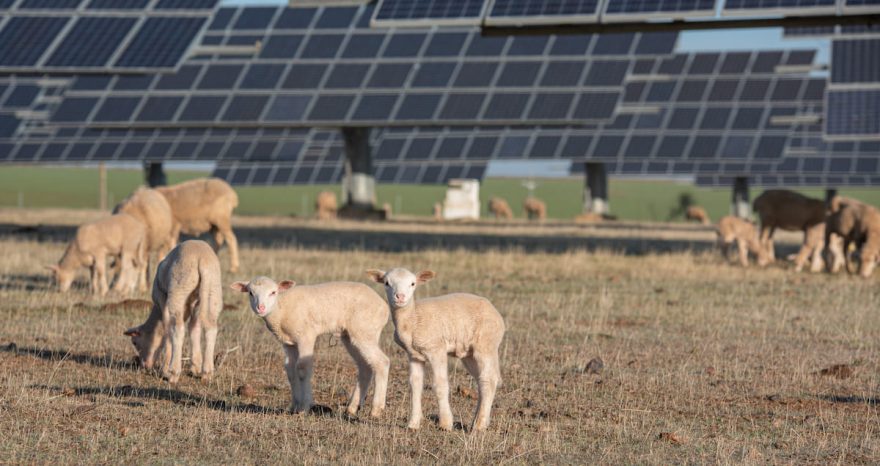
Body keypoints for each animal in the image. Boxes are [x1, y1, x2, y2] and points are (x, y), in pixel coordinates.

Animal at [122, 240, 222, 382]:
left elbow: (167, 330)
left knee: (177, 329)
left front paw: (165, 369)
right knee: (211, 328)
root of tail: (202, 259)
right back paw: (207, 373)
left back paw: (174, 373)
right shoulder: (194, 303)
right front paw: (195, 367)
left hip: (178, 290)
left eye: (135, 342)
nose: (144, 365)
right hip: (213, 291)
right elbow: (194, 328)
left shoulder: (162, 298)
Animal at [230, 276, 388, 418]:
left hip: (364, 330)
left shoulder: (306, 336)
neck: (281, 308)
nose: (260, 308)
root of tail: (383, 306)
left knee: (382, 362)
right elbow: (290, 370)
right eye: (251, 293)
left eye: (273, 292)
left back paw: (376, 410)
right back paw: (352, 408)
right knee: (365, 367)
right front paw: (293, 406)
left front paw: (304, 407)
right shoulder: (288, 343)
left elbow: (302, 368)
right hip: (351, 335)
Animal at [364, 268, 506, 432]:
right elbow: (415, 385)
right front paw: (413, 424)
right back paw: (478, 421)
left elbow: (440, 384)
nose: (400, 297)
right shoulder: (414, 354)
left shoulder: (436, 349)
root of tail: (496, 313)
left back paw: (479, 425)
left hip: (485, 343)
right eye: (387, 283)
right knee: (482, 381)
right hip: (469, 354)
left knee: (489, 380)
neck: (412, 318)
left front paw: (445, 423)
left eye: (412, 284)